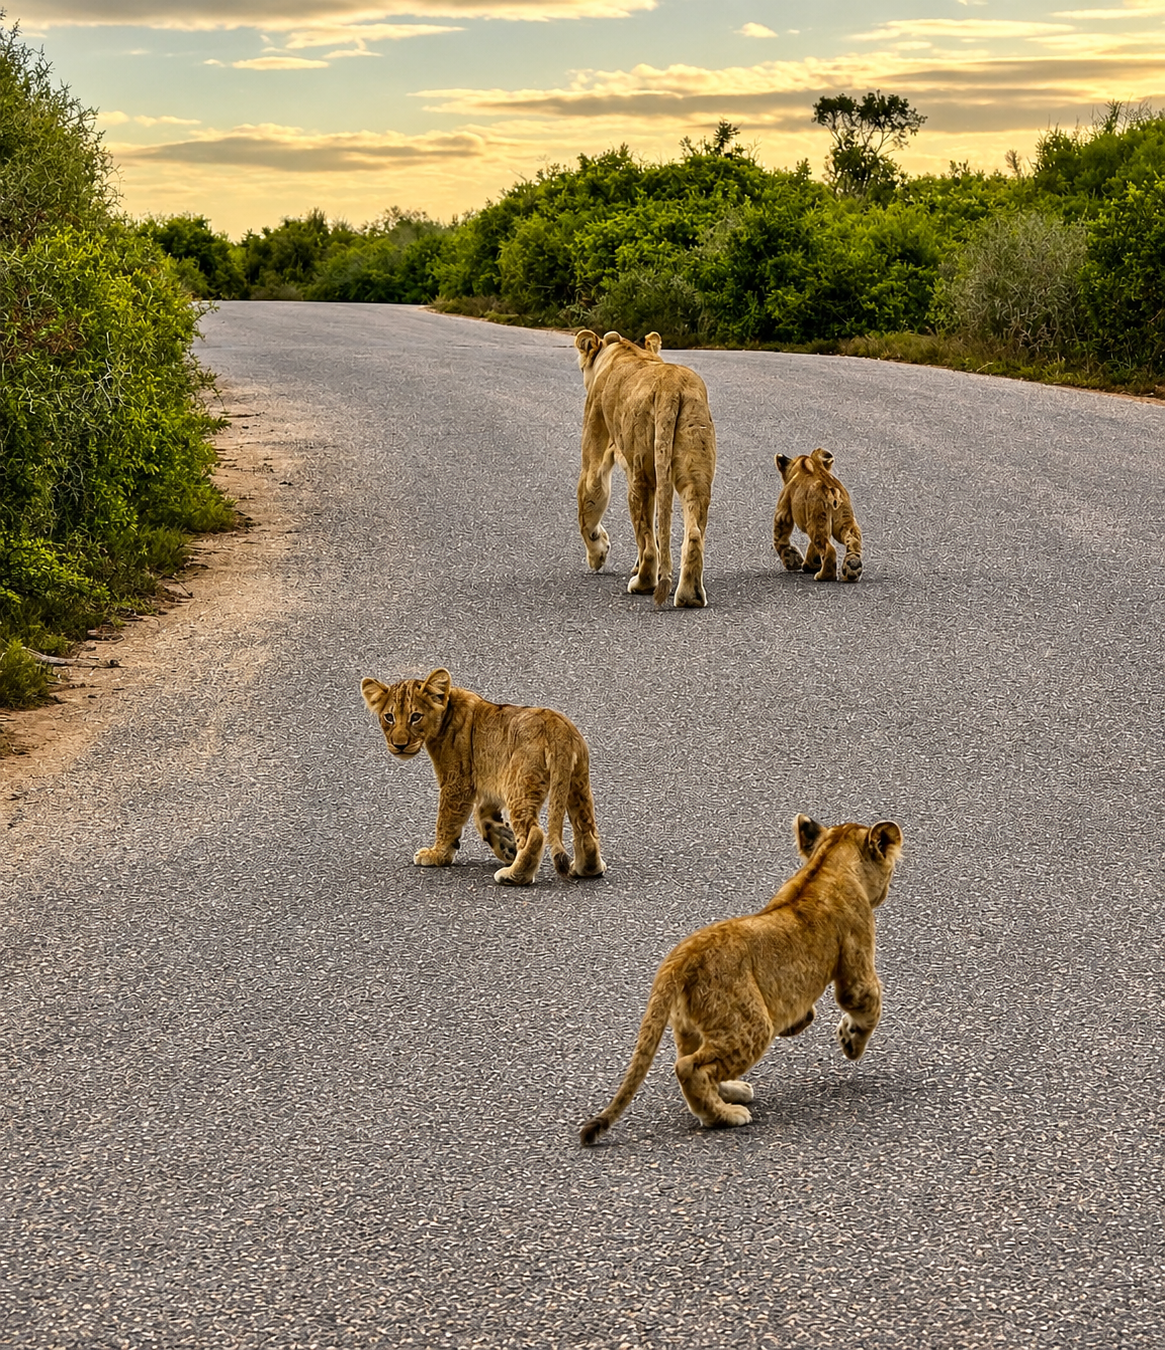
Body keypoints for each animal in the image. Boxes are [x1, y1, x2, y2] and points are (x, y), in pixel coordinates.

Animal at [360, 668, 606, 886]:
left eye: (415, 717)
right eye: (389, 717)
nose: (399, 745)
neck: (446, 711)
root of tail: (556, 726)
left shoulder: (457, 782)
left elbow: (446, 820)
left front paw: (437, 855)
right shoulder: (489, 782)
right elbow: (483, 816)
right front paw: (506, 844)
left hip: (520, 782)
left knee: (535, 833)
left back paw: (513, 877)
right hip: (575, 782)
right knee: (586, 828)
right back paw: (587, 869)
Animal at [574, 328, 717, 608]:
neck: (624, 350)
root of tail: (671, 387)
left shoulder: (595, 451)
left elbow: (590, 502)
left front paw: (598, 555)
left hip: (641, 472)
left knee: (648, 543)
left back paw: (641, 583)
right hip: (696, 468)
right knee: (693, 532)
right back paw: (690, 597)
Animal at [579, 814, 903, 1145]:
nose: (888, 888)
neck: (827, 864)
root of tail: (679, 959)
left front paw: (806, 1023)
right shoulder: (856, 961)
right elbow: (868, 1004)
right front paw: (851, 1043)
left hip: (690, 1025)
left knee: (696, 1059)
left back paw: (730, 1092)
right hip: (751, 1025)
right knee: (689, 1066)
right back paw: (724, 1115)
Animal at [773, 447, 864, 583]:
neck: (809, 465)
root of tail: (832, 490)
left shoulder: (783, 510)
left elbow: (779, 538)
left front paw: (793, 561)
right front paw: (811, 564)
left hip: (817, 520)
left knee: (829, 549)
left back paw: (823, 576)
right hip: (843, 521)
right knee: (853, 540)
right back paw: (853, 568)